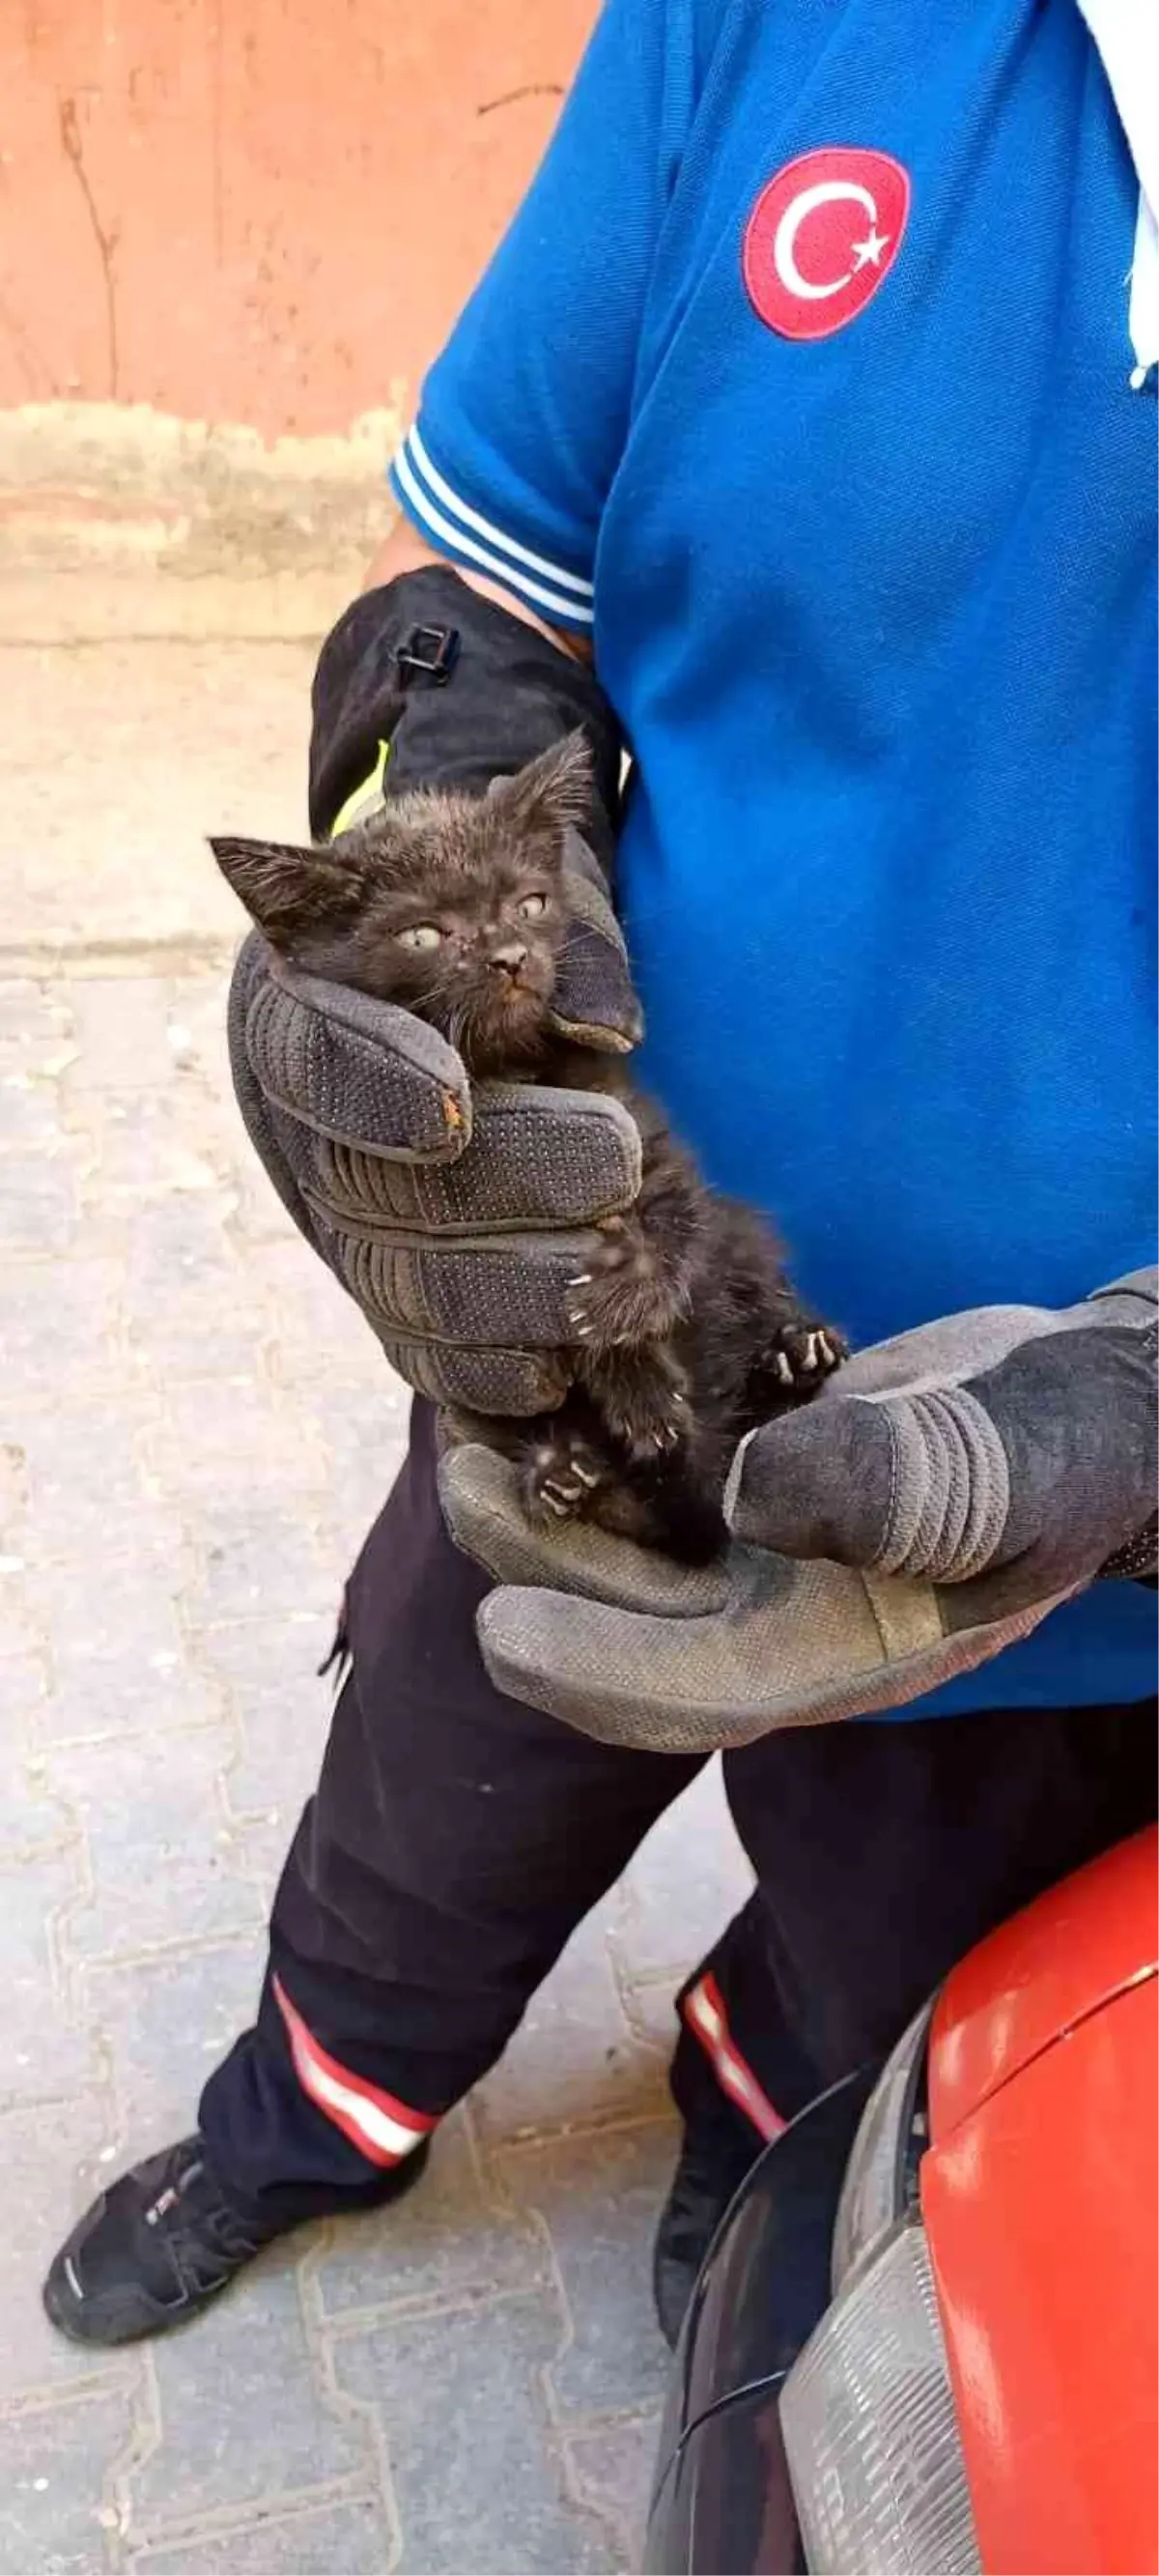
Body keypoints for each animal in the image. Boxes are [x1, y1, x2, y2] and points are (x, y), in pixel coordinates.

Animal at [210, 736, 839, 1556]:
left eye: (530, 904)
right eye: (423, 934)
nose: (510, 954)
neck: (512, 1065)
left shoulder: (640, 1137)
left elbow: (676, 1219)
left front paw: (629, 1301)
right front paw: (636, 1395)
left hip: (745, 1248)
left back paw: (794, 1355)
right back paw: (566, 1468)